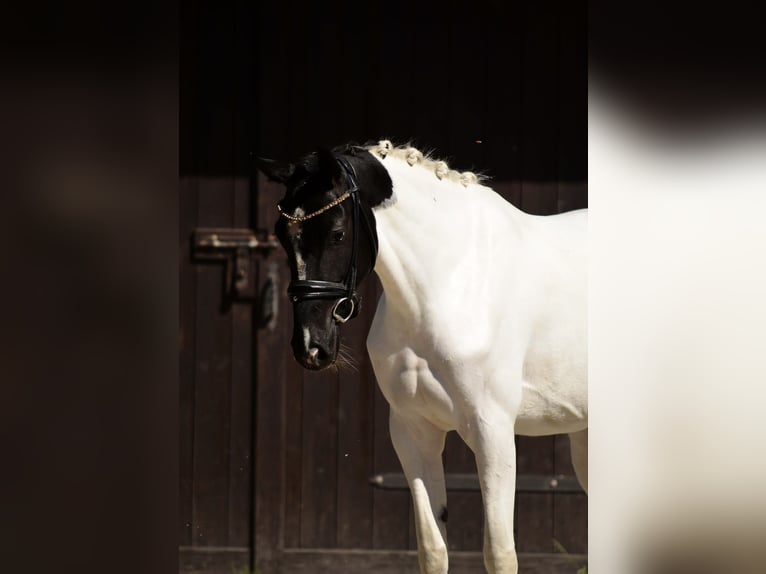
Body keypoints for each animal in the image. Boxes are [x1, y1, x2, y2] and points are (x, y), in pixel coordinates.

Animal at [257, 139, 587, 574]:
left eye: (338, 233)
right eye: (282, 234)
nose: (311, 347)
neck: (452, 283)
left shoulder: (493, 433)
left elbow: (500, 552)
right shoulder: (414, 431)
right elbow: (432, 548)